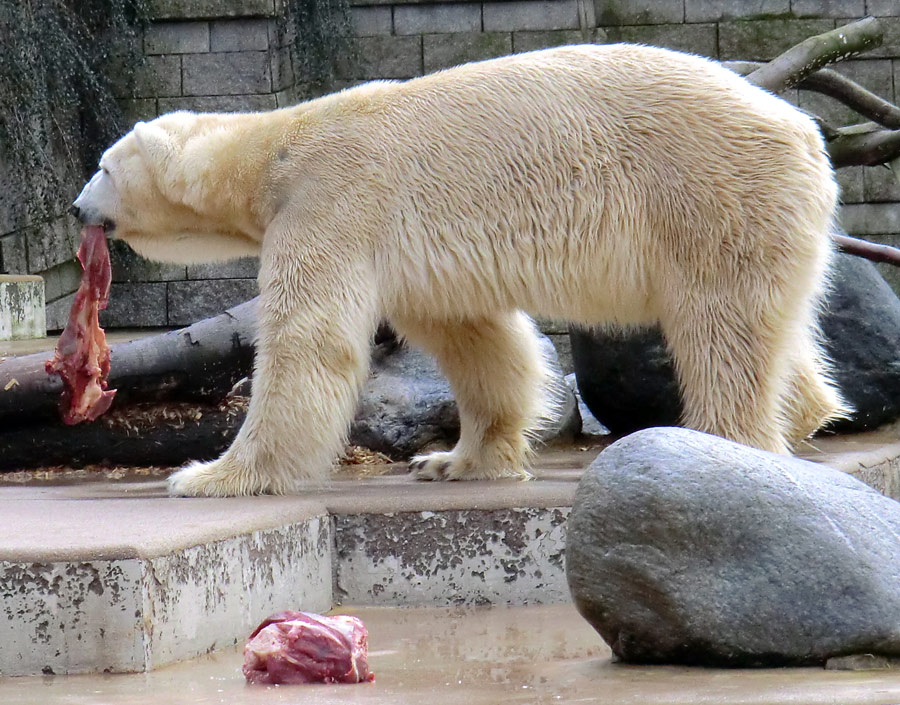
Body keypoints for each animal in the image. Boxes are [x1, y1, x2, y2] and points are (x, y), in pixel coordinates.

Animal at [74, 44, 848, 496]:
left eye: (105, 167)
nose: (79, 207)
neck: (276, 149)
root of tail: (806, 131)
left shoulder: (335, 201)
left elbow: (310, 344)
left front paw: (211, 474)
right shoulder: (413, 254)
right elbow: (477, 339)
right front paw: (455, 459)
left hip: (710, 194)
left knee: (721, 327)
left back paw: (724, 442)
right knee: (773, 324)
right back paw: (806, 411)